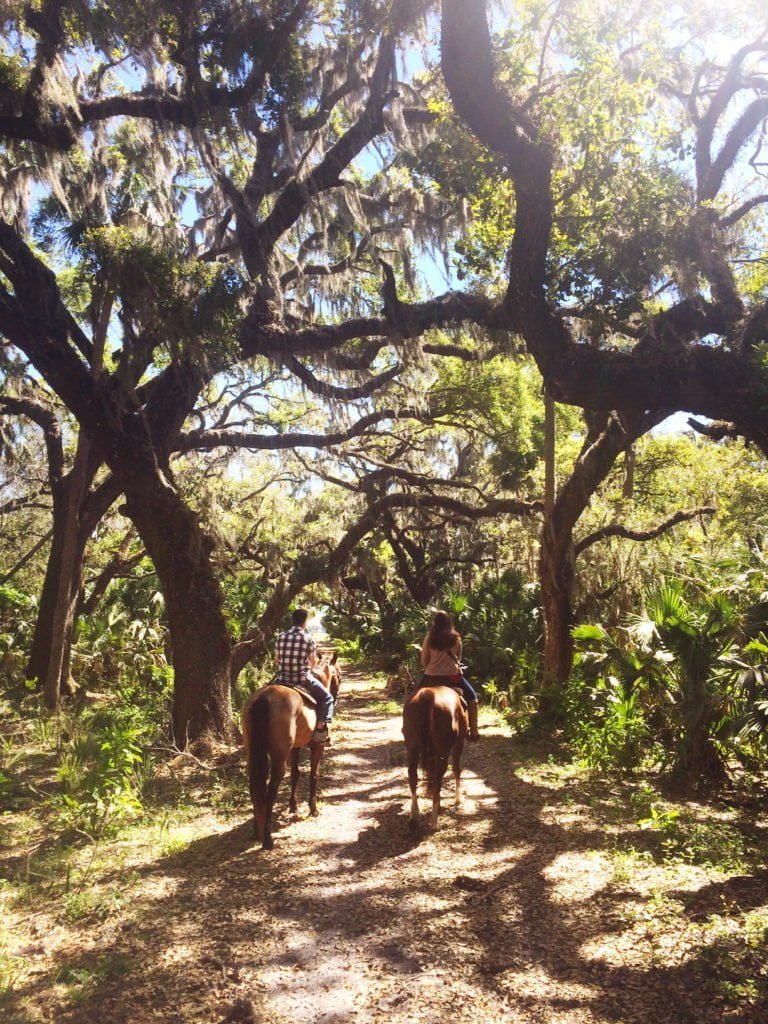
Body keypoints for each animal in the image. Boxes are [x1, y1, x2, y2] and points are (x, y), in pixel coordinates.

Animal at [240, 655, 335, 847]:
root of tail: (264, 698)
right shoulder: (317, 747)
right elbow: (314, 774)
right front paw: (313, 808)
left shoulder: (295, 748)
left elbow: (295, 775)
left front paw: (293, 806)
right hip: (279, 756)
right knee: (272, 789)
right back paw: (268, 840)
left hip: (253, 753)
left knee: (254, 786)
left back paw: (257, 832)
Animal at [403, 684, 468, 827]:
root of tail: (427, 696)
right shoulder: (459, 743)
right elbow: (456, 769)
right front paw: (458, 798)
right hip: (443, 748)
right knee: (438, 776)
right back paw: (434, 820)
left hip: (412, 746)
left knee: (413, 775)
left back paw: (414, 814)